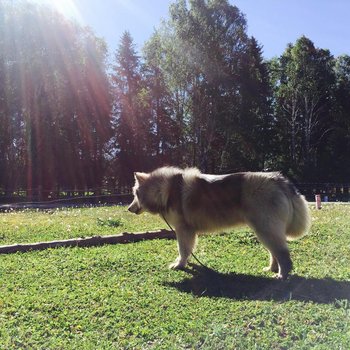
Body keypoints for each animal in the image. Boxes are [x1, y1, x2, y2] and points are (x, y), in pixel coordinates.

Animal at [128, 166, 308, 278]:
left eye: (135, 194)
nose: (129, 208)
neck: (164, 190)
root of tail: (279, 178)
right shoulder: (188, 232)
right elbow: (188, 250)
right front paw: (187, 263)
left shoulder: (183, 230)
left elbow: (183, 250)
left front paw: (179, 264)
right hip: (264, 231)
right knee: (274, 253)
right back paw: (271, 269)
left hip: (266, 229)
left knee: (282, 254)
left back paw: (281, 275)